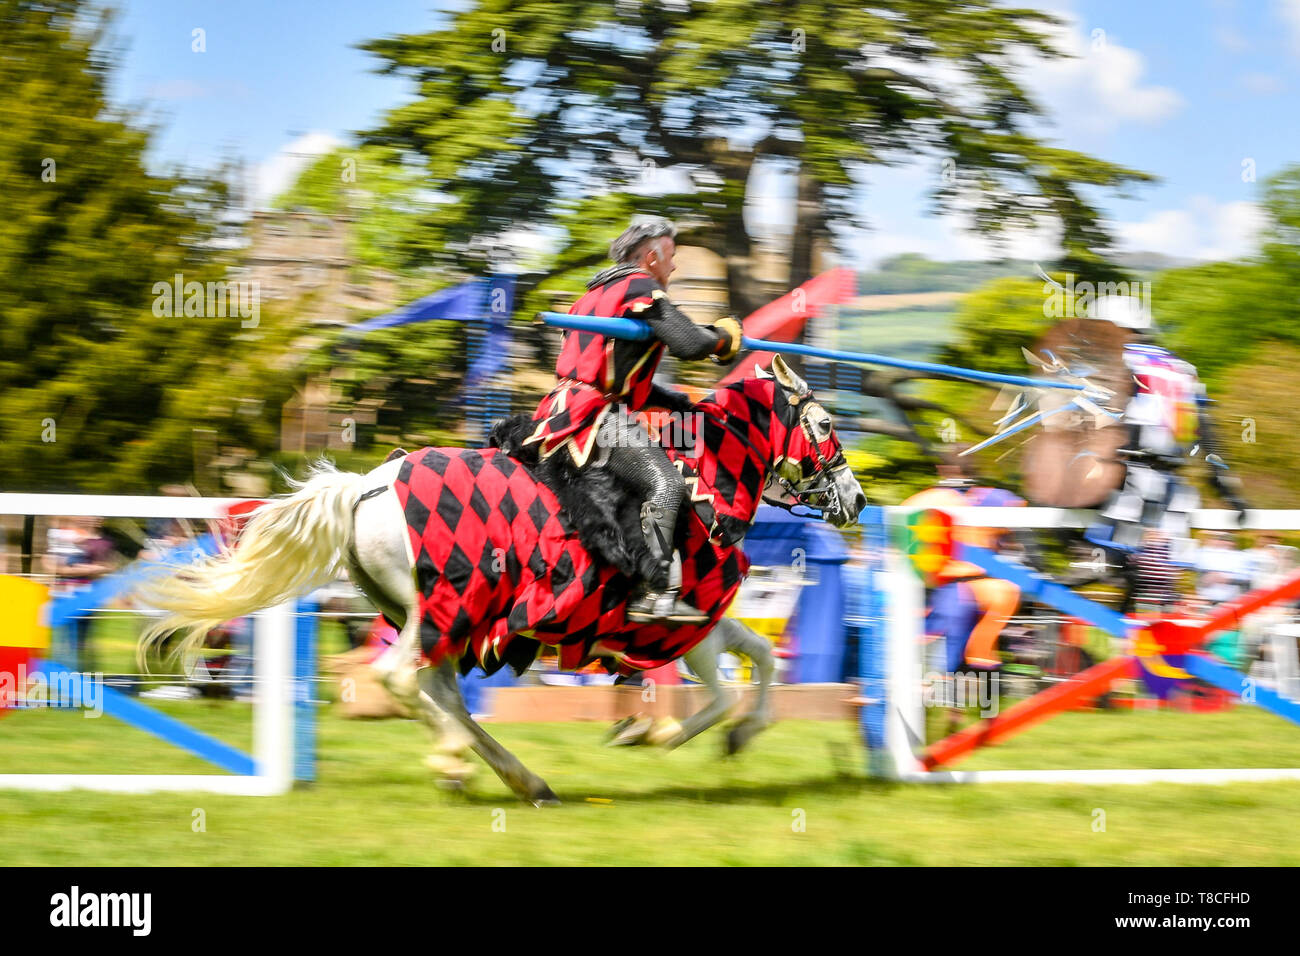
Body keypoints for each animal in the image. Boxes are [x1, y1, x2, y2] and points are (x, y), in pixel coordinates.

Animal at [139, 356, 863, 806]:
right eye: (826, 424)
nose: (855, 500)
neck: (704, 484)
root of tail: (364, 488)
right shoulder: (688, 627)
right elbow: (717, 695)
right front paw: (656, 735)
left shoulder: (707, 622)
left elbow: (764, 655)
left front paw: (734, 734)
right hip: (448, 608)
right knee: (403, 681)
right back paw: (459, 760)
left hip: (433, 620)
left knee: (438, 693)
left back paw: (517, 778)